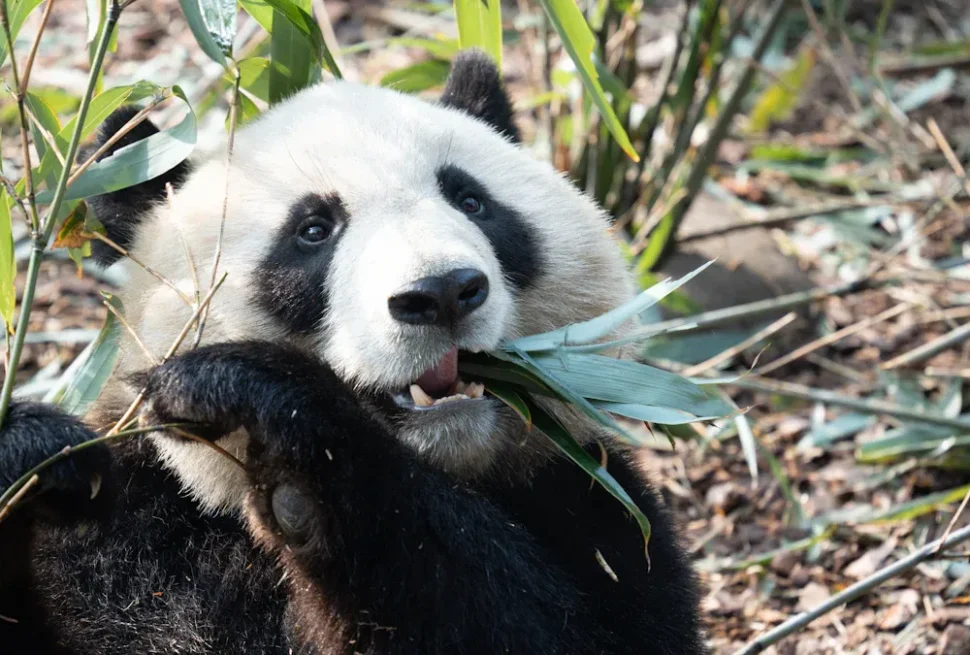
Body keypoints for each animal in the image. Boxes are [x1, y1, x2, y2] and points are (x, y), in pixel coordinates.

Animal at [0, 51, 707, 654]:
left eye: (472, 201)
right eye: (313, 230)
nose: (441, 292)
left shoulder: (595, 508)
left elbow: (544, 626)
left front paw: (270, 417)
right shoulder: (136, 529)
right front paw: (37, 454)